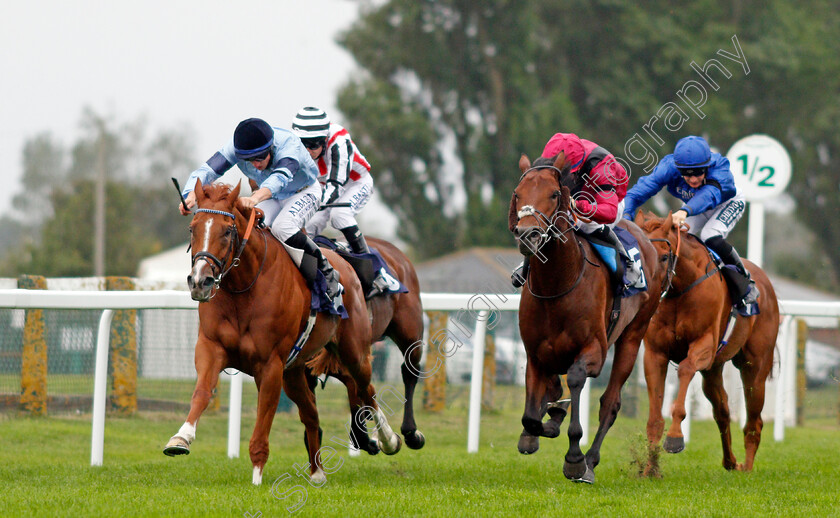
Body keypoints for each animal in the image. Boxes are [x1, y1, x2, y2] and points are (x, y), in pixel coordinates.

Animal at [166, 181, 402, 486]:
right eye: (192, 228)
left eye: (227, 231)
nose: (200, 281)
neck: (244, 290)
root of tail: (347, 264)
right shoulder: (211, 347)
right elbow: (202, 392)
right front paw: (180, 438)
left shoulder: (270, 365)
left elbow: (263, 418)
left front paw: (256, 477)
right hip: (295, 371)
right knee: (311, 413)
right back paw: (317, 472)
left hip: (353, 352)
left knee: (367, 390)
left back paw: (388, 439)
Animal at [508, 152, 668, 486]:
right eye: (518, 195)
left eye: (553, 194)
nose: (528, 236)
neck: (557, 285)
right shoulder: (534, 353)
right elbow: (531, 417)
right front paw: (544, 423)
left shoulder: (594, 350)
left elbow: (577, 380)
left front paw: (573, 459)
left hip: (632, 336)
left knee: (610, 403)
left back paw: (590, 462)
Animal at [636, 211, 780, 476]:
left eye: (664, 256)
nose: (646, 290)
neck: (680, 290)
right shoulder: (655, 353)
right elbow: (654, 418)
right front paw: (650, 469)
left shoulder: (703, 345)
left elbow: (684, 370)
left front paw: (675, 438)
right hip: (713, 370)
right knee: (722, 412)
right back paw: (730, 461)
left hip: (755, 367)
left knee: (754, 420)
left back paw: (747, 466)